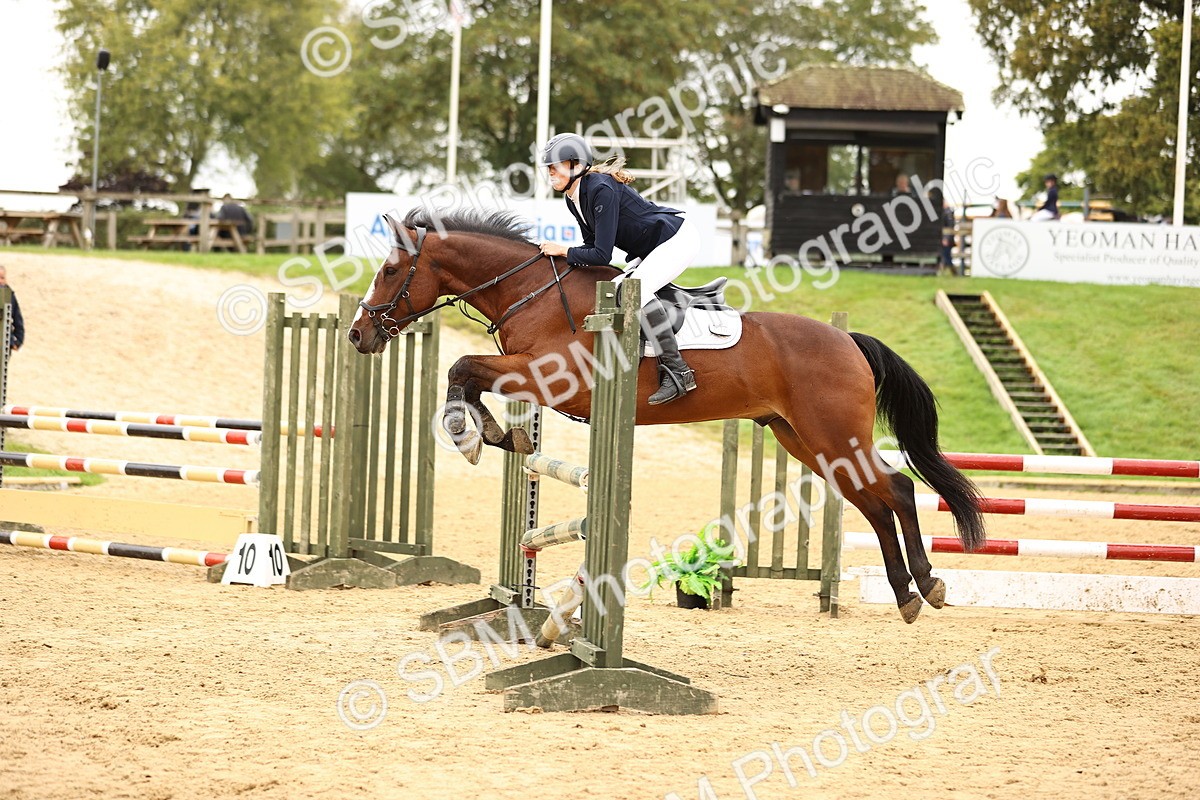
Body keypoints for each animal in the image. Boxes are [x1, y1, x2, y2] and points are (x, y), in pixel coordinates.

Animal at [347, 208, 986, 623]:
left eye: (388, 272)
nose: (357, 335)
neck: (532, 291)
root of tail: (847, 339)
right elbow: (469, 375)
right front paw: (499, 434)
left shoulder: (551, 378)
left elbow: (462, 367)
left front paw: (473, 434)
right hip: (801, 438)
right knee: (875, 501)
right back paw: (908, 593)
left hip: (833, 433)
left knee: (897, 489)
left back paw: (926, 585)